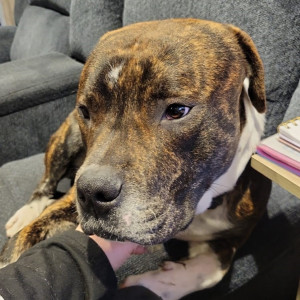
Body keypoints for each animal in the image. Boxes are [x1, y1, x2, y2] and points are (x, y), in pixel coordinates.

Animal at [0, 19, 272, 300]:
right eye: (85, 111)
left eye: (178, 110)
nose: (91, 192)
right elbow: (22, 243)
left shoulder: (232, 237)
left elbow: (211, 273)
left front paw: (152, 283)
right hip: (67, 140)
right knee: (47, 180)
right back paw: (26, 211)